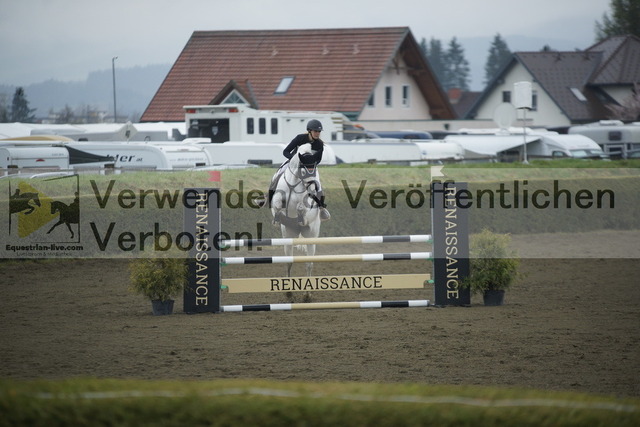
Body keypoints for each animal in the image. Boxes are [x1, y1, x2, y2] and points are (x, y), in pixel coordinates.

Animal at [270, 143, 323, 280]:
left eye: (314, 169)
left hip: (311, 237)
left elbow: (301, 207)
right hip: (288, 237)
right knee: (289, 262)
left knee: (309, 263)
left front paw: (301, 217)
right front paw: (276, 219)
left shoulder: (306, 202)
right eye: (303, 171)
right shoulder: (278, 198)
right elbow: (277, 206)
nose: (313, 190)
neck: (293, 183)